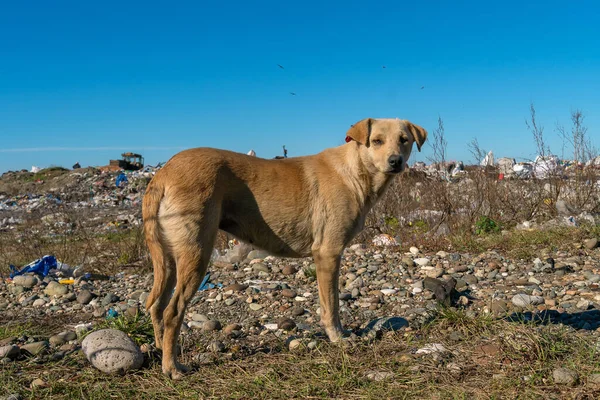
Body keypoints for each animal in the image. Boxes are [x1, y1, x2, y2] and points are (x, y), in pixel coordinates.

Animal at [144, 118, 426, 378]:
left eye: (404, 140)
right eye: (376, 141)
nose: (395, 161)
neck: (355, 170)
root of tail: (163, 173)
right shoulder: (328, 253)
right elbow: (331, 306)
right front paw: (337, 337)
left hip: (169, 259)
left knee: (157, 305)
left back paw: (160, 350)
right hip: (196, 253)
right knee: (172, 310)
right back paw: (172, 367)